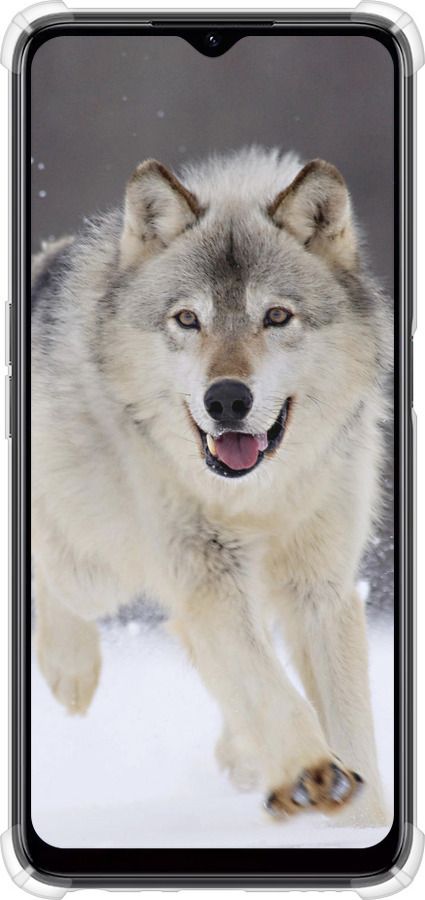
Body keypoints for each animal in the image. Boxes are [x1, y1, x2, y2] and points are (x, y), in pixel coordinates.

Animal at [31, 147, 391, 826]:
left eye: (276, 316)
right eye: (187, 319)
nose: (226, 399)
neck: (256, 498)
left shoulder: (319, 586)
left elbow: (350, 724)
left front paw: (363, 820)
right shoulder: (206, 573)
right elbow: (268, 686)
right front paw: (310, 773)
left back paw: (244, 757)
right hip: (97, 568)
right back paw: (72, 669)